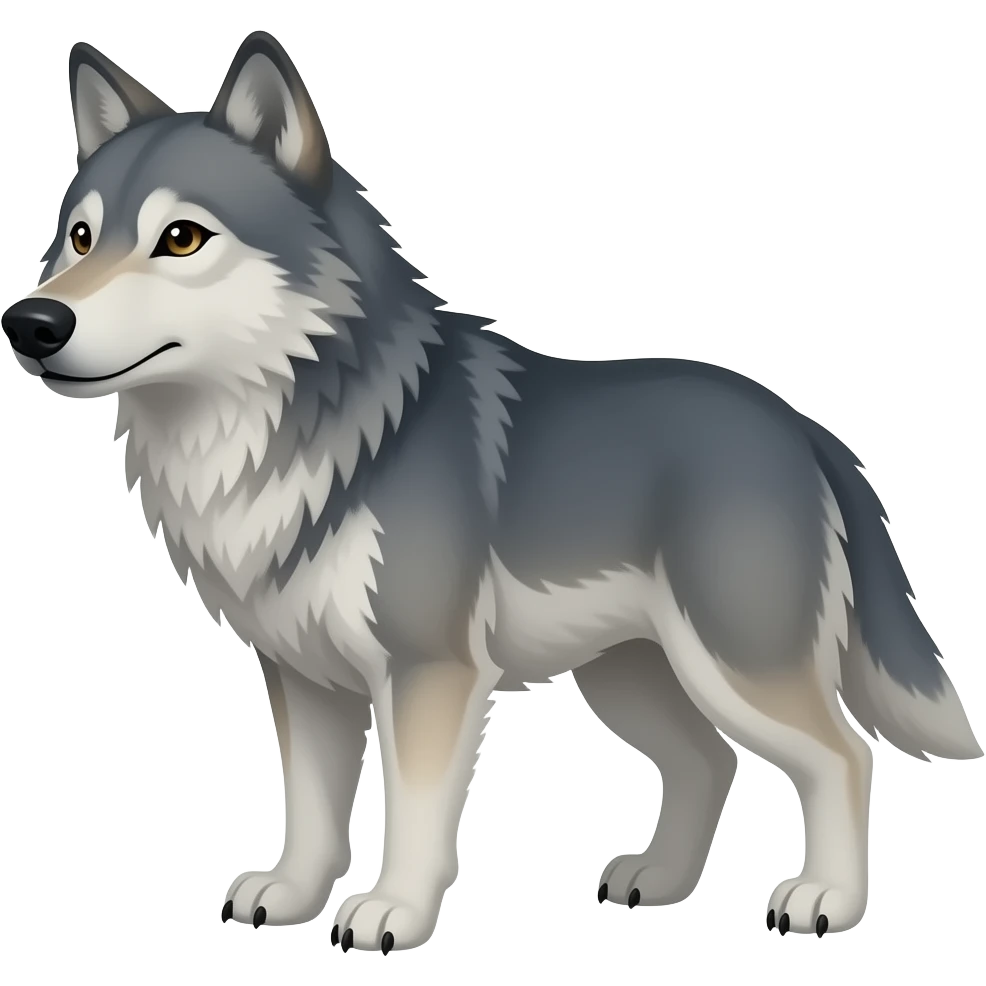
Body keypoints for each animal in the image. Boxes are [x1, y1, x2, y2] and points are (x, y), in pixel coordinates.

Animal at [2, 30, 981, 952]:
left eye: (181, 238)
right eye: (79, 237)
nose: (30, 323)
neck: (296, 426)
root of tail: (805, 429)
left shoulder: (427, 671)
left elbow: (415, 810)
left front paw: (393, 912)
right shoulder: (303, 677)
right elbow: (312, 810)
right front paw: (292, 895)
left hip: (735, 663)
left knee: (842, 756)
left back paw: (827, 900)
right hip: (629, 676)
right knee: (710, 762)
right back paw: (659, 880)